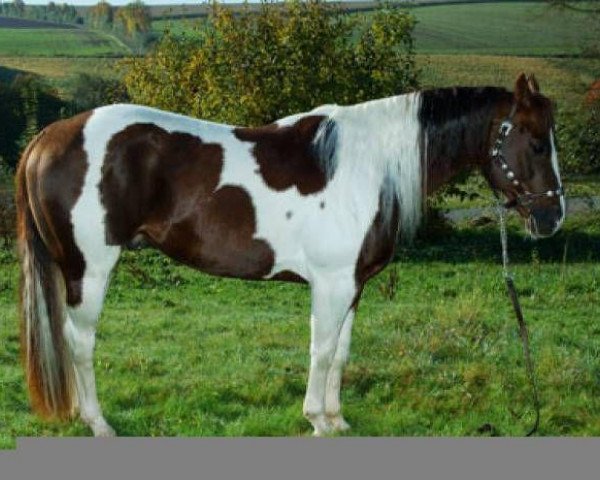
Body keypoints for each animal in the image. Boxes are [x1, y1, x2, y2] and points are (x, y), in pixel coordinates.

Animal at [15, 73, 568, 436]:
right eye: (537, 143)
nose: (551, 218)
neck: (370, 167)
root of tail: (47, 138)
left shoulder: (353, 285)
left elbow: (341, 351)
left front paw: (338, 419)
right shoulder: (332, 283)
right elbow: (321, 350)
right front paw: (317, 419)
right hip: (89, 270)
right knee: (80, 343)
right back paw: (99, 423)